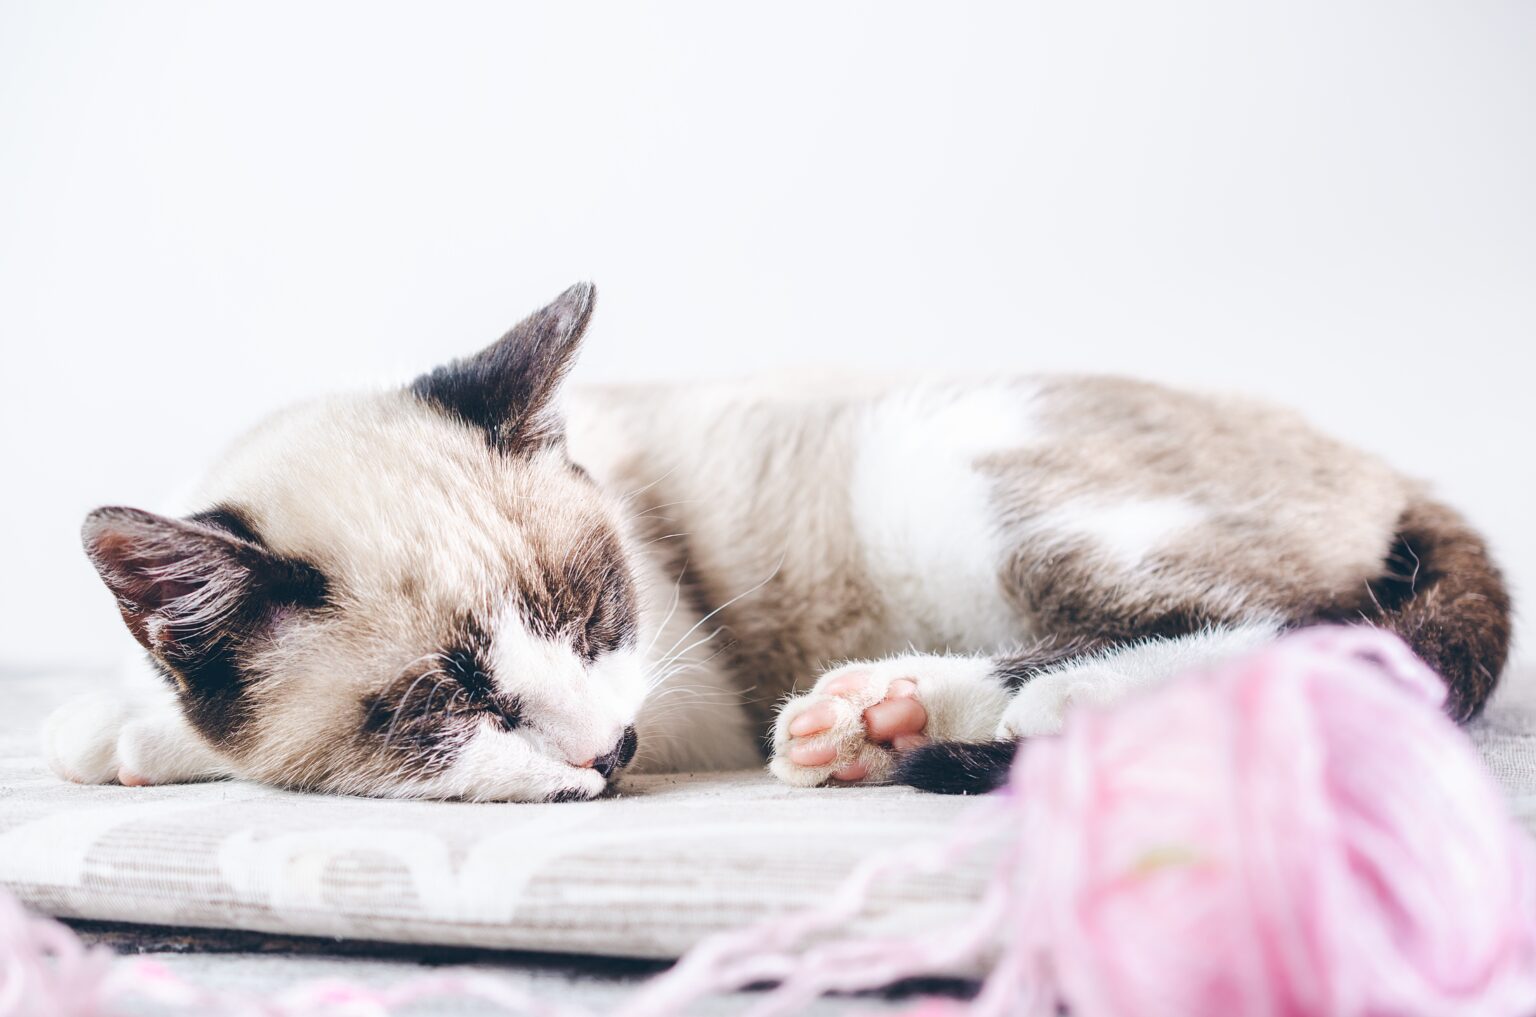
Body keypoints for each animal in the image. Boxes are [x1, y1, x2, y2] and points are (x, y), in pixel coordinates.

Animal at [42, 282, 1505, 798]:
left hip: (928, 465)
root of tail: (1393, 463)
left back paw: (979, 714)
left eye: (593, 613)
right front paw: (109, 725)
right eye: (448, 700)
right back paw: (882, 723)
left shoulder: (684, 697)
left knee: (1313, 633)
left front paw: (142, 738)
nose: (609, 756)